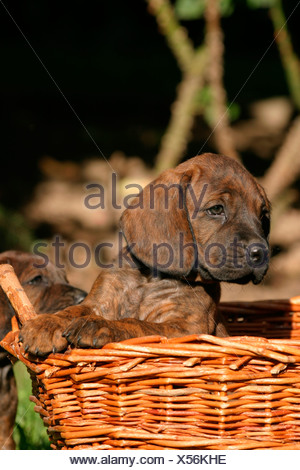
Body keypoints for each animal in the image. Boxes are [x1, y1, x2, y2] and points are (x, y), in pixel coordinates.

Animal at [19, 154, 270, 356]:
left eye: (263, 215)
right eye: (216, 209)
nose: (260, 253)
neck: (150, 280)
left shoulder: (186, 329)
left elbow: (138, 325)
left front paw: (100, 325)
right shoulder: (99, 302)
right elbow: (72, 310)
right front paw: (45, 323)